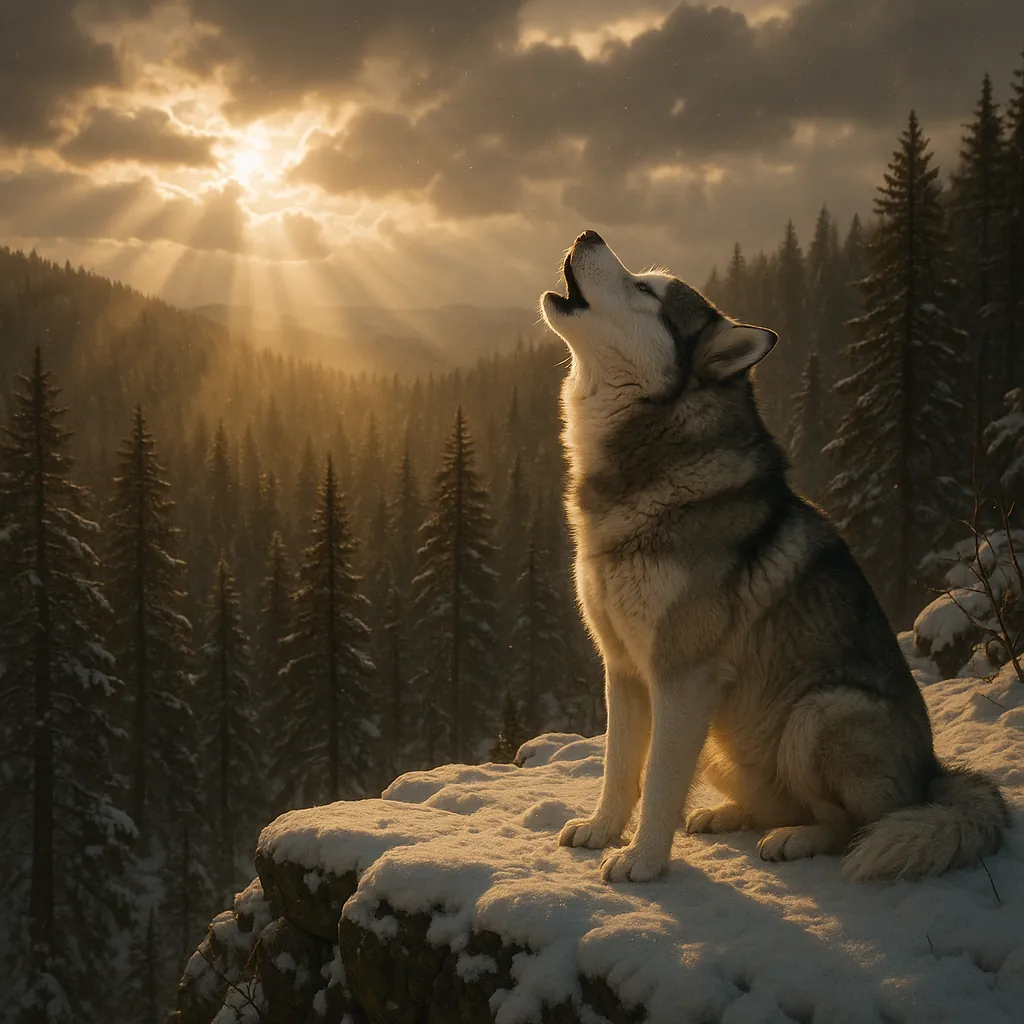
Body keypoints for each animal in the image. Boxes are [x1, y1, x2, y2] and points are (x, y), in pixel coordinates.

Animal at [540, 229, 1009, 884]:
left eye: (645, 290)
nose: (588, 234)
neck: (650, 464)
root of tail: (934, 776)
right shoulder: (626, 671)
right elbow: (619, 768)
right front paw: (603, 831)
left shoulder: (682, 677)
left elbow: (657, 779)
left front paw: (644, 861)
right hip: (725, 740)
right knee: (781, 802)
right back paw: (728, 815)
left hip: (819, 713)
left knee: (849, 826)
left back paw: (796, 839)